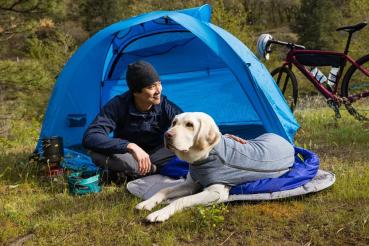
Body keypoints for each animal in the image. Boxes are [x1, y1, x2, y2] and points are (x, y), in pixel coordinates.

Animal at [135, 112, 294, 222]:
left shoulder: (215, 192)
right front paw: (147, 203)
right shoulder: (190, 184)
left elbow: (181, 200)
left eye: (189, 125)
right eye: (174, 122)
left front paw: (160, 213)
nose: (167, 135)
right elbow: (164, 190)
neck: (204, 157)